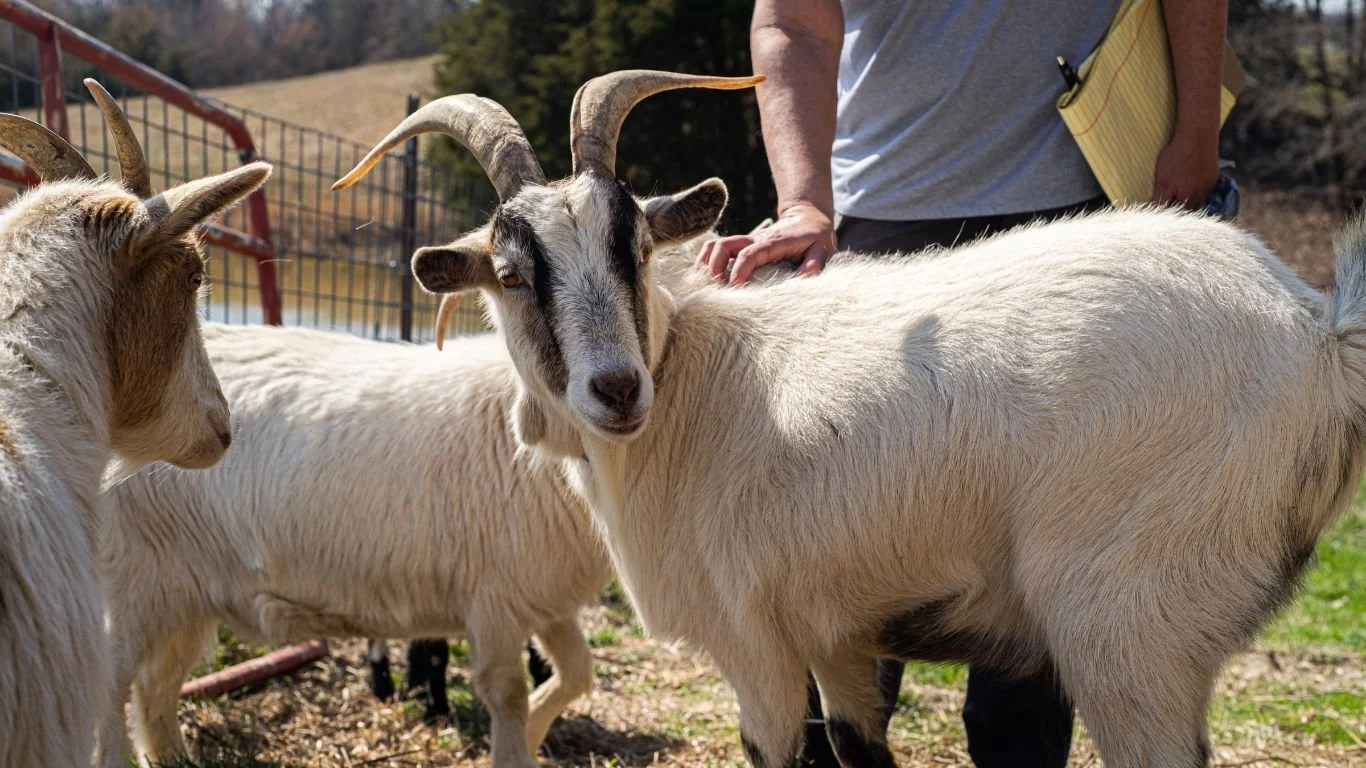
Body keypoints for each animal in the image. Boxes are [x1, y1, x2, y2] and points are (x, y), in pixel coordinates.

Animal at [96, 322, 611, 768]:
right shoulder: (493, 602)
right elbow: (508, 695)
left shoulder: (543, 599)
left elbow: (577, 671)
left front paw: (536, 729)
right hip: (127, 582)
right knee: (109, 687)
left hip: (181, 593)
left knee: (155, 685)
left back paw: (171, 758)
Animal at [334, 69, 1366, 768]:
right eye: (513, 275)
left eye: (635, 247)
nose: (618, 390)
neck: (698, 389)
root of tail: (1316, 333)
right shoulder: (837, 634)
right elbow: (862, 752)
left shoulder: (754, 643)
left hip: (1130, 623)